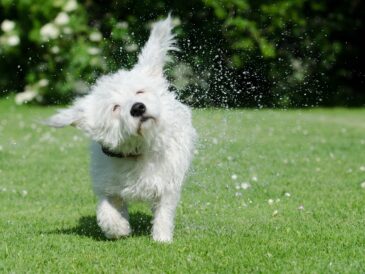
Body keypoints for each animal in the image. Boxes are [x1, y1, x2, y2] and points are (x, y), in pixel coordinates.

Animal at [47, 16, 198, 242]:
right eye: (115, 107)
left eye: (139, 92)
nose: (137, 108)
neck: (136, 151)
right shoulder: (108, 185)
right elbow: (106, 210)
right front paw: (119, 228)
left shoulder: (166, 183)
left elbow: (164, 211)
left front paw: (161, 239)